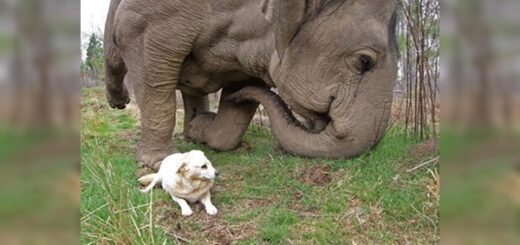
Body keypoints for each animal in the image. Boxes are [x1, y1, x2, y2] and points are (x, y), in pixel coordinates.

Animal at [104, 0, 398, 170]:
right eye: (364, 61)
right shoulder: (149, 17)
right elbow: (151, 69)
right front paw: (160, 162)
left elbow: (230, 124)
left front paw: (203, 124)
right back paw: (118, 101)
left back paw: (192, 126)